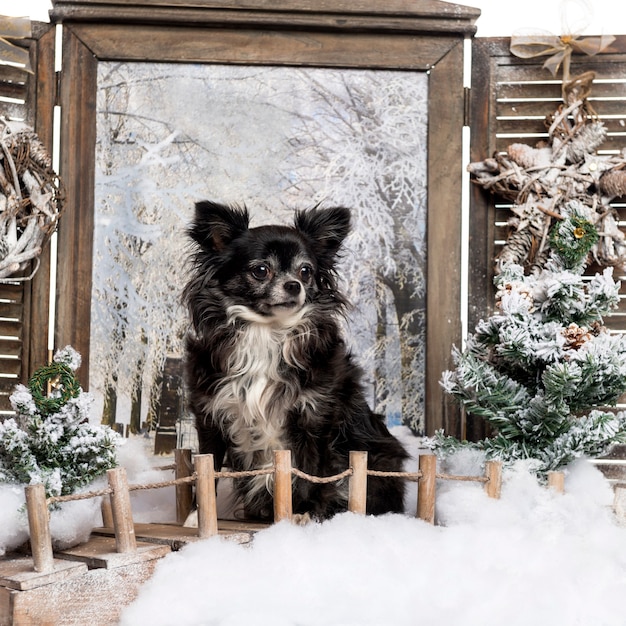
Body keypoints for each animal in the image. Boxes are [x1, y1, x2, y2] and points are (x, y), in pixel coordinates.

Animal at [182, 202, 404, 520]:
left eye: (305, 271)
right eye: (261, 270)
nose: (293, 285)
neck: (267, 332)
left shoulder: (315, 417)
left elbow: (311, 472)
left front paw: (304, 512)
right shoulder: (210, 416)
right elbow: (207, 471)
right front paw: (194, 519)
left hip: (378, 458)